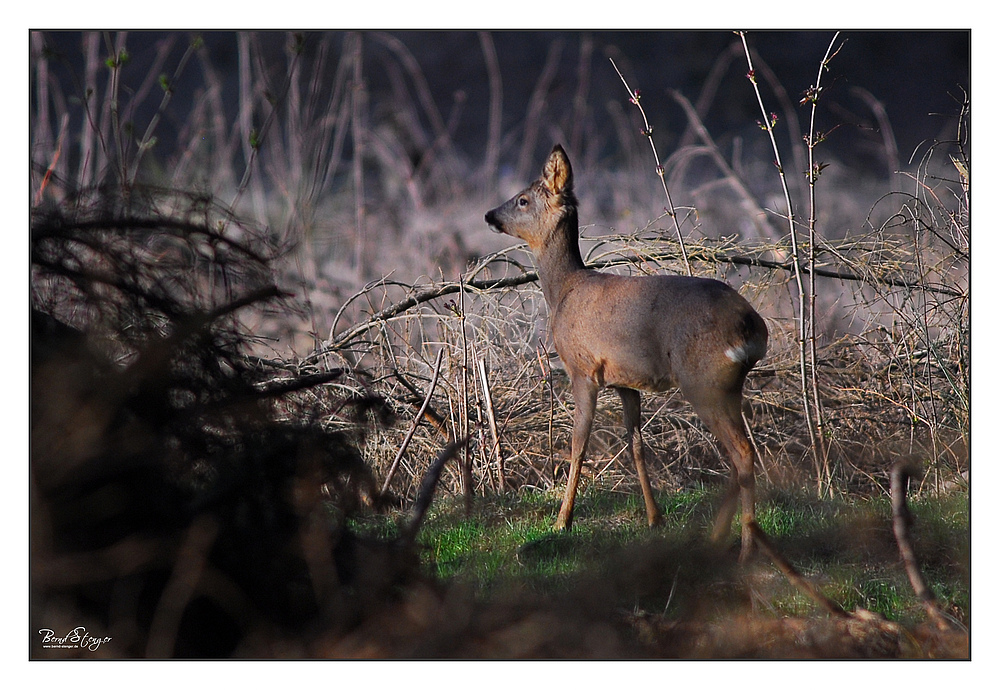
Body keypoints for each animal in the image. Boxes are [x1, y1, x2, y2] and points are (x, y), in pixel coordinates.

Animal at [488, 145, 768, 560]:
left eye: (522, 199)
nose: (490, 215)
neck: (563, 291)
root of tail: (752, 326)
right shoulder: (625, 381)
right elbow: (636, 445)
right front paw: (654, 518)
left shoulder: (582, 369)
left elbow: (578, 444)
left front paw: (562, 520)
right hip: (729, 385)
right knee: (737, 456)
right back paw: (718, 538)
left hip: (704, 380)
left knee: (743, 453)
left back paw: (747, 548)